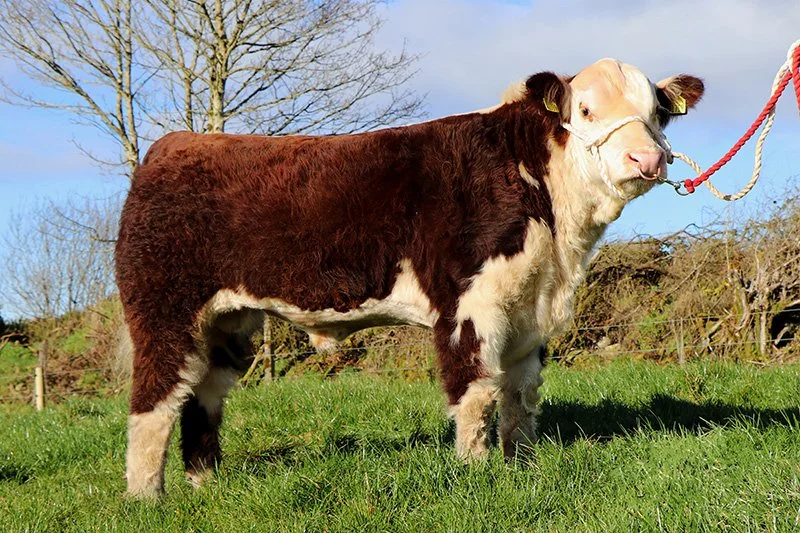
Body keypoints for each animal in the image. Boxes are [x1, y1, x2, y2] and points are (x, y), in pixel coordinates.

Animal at [116, 58, 704, 497]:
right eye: (584, 109)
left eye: (657, 113)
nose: (647, 159)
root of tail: (176, 145)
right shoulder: (469, 307)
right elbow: (477, 395)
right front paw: (476, 473)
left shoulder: (528, 311)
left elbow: (520, 397)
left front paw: (522, 467)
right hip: (164, 312)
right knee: (155, 399)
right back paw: (147, 497)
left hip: (228, 321)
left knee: (203, 396)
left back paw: (205, 485)